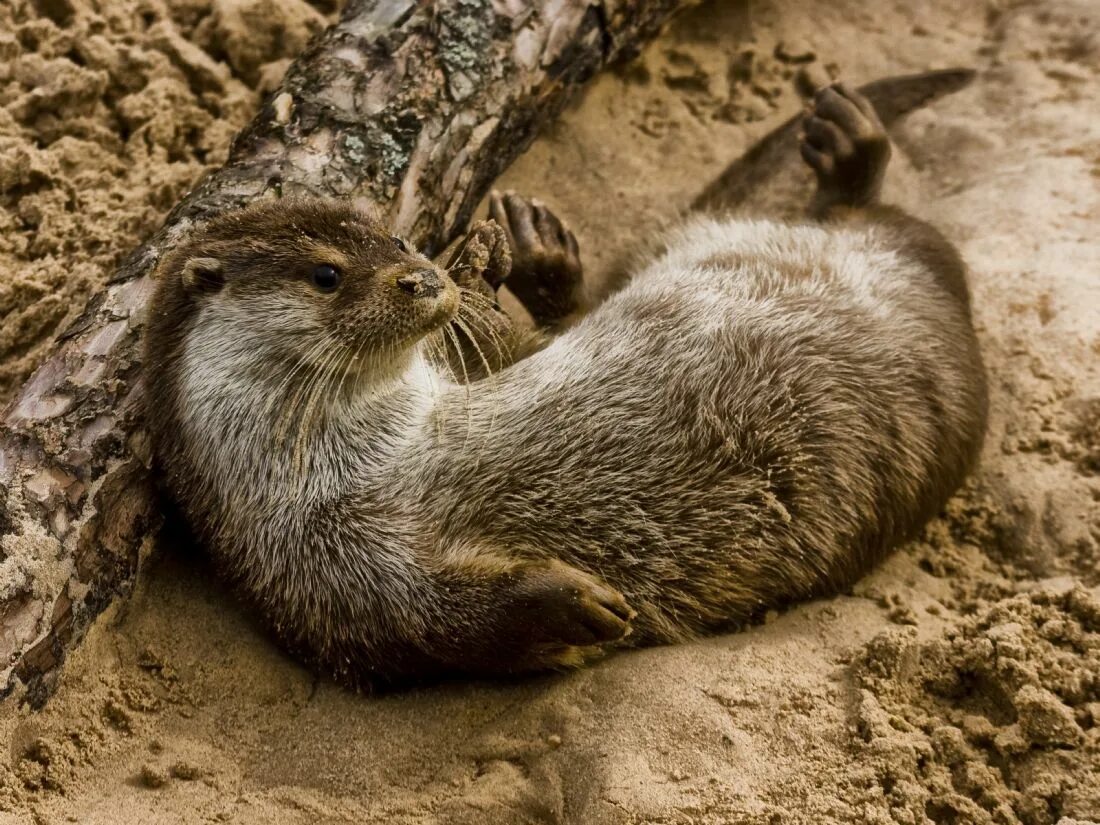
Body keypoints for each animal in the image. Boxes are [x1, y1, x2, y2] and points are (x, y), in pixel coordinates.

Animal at [144, 79, 990, 686]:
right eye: (327, 273)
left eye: (398, 237)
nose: (425, 277)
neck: (357, 459)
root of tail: (949, 298)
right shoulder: (327, 571)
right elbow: (442, 625)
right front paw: (565, 604)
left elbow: (528, 346)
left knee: (864, 214)